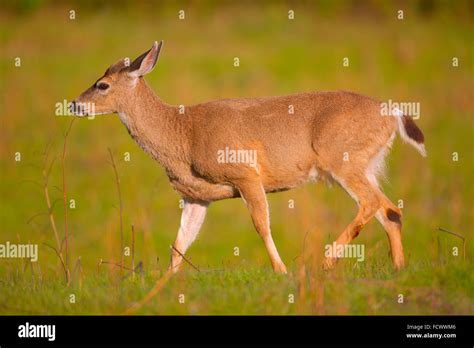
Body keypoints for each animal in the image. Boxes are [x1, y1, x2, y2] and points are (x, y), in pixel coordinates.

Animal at [69, 41, 426, 274]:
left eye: (102, 85)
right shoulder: (197, 196)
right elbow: (180, 243)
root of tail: (393, 113)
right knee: (390, 210)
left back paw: (326, 261)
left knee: (371, 203)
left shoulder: (245, 174)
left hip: (343, 159)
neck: (182, 136)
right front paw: (166, 285)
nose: (73, 104)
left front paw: (281, 271)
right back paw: (398, 268)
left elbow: (261, 226)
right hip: (366, 165)